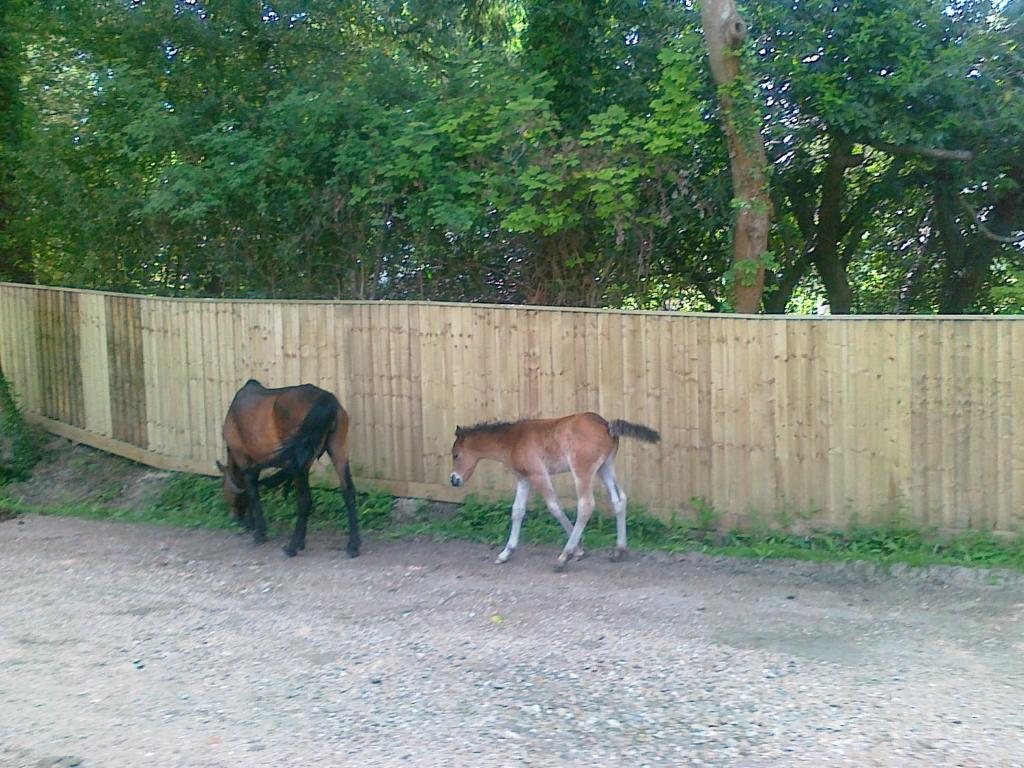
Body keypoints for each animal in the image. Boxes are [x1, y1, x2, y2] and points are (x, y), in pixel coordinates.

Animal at [216, 382, 360, 561]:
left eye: (225, 489)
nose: (234, 517)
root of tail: (325, 398)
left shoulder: (243, 456)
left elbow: (252, 490)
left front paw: (259, 532)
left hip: (301, 463)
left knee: (304, 500)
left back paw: (292, 547)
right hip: (337, 451)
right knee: (348, 492)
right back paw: (353, 545)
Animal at [450, 415, 659, 573]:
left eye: (456, 455)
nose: (453, 480)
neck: (512, 440)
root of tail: (606, 425)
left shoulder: (539, 475)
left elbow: (554, 507)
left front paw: (578, 550)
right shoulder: (524, 479)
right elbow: (517, 511)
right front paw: (505, 553)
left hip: (582, 471)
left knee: (586, 505)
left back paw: (563, 557)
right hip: (605, 468)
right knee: (619, 500)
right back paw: (619, 551)